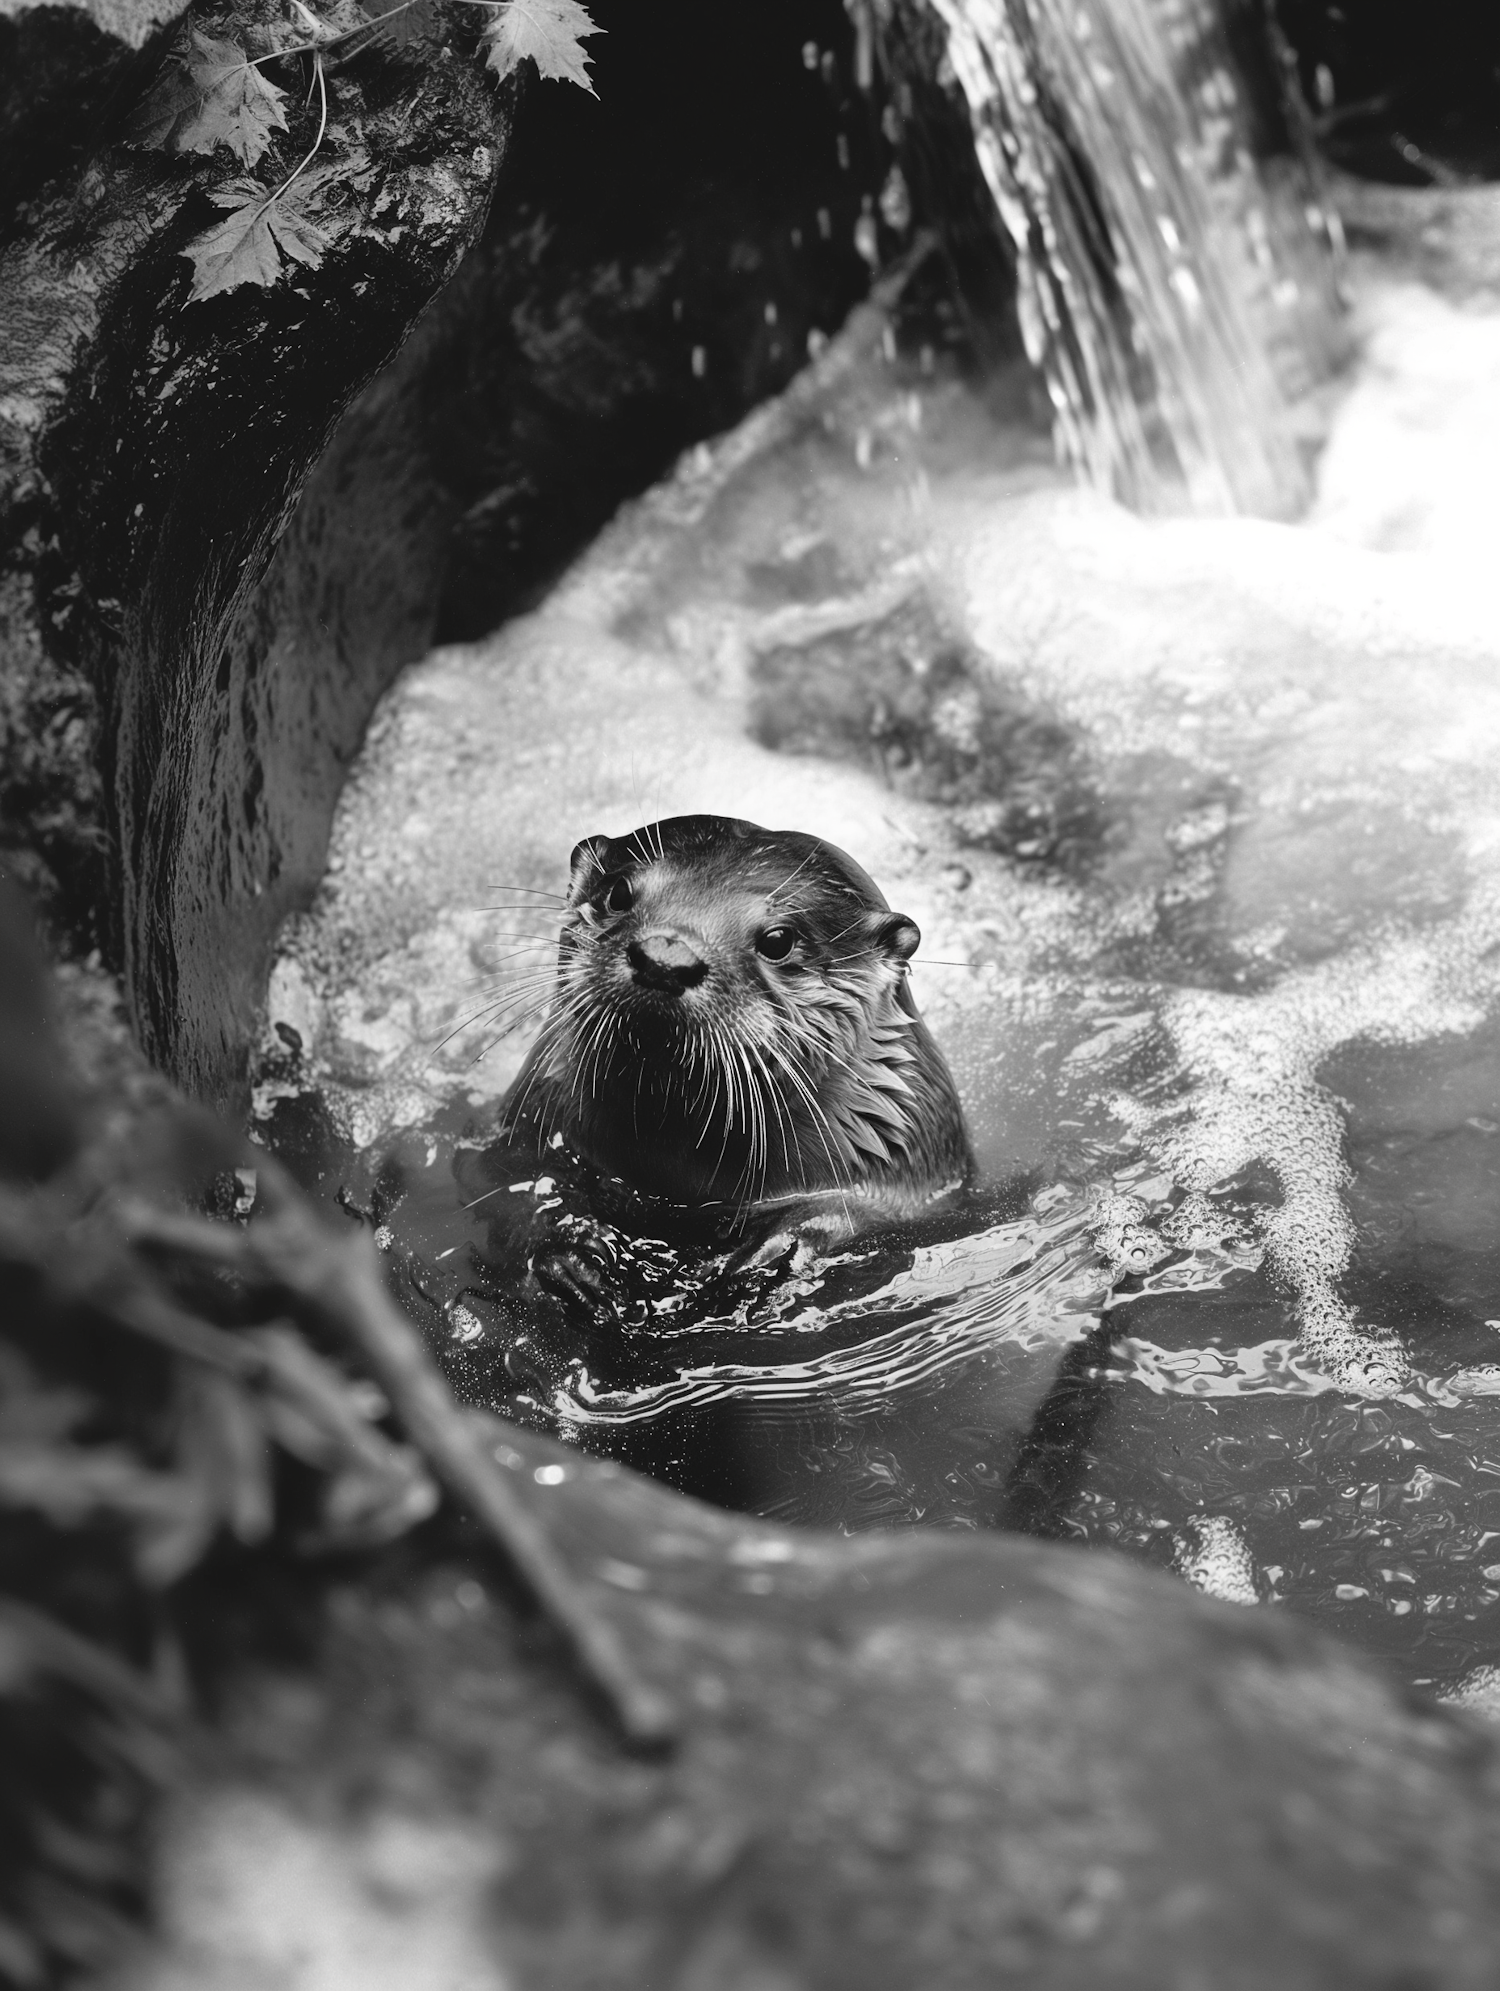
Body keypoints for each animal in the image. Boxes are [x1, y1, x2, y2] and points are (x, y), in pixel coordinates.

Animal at [498, 812, 976, 1258]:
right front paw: (569, 1238)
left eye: (779, 939)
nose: (664, 957)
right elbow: (514, 1179)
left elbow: (858, 1216)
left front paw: (782, 1248)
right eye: (618, 893)